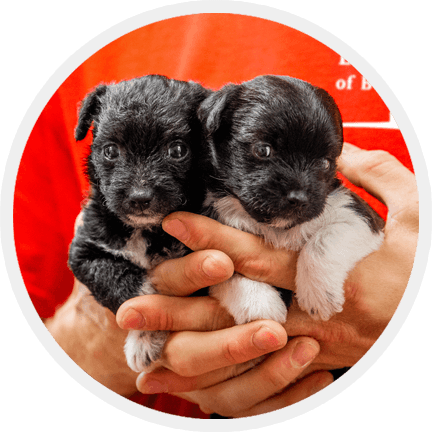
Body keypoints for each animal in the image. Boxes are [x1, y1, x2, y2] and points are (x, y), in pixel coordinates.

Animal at [68, 74, 209, 372]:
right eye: (110, 150)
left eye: (177, 150)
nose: (140, 198)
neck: (144, 229)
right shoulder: (84, 250)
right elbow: (110, 276)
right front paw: (144, 332)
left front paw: (144, 341)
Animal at [197, 75, 384, 324]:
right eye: (263, 150)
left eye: (325, 163)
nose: (300, 198)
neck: (278, 228)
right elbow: (225, 266)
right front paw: (259, 302)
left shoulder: (360, 216)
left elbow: (325, 240)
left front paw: (319, 294)